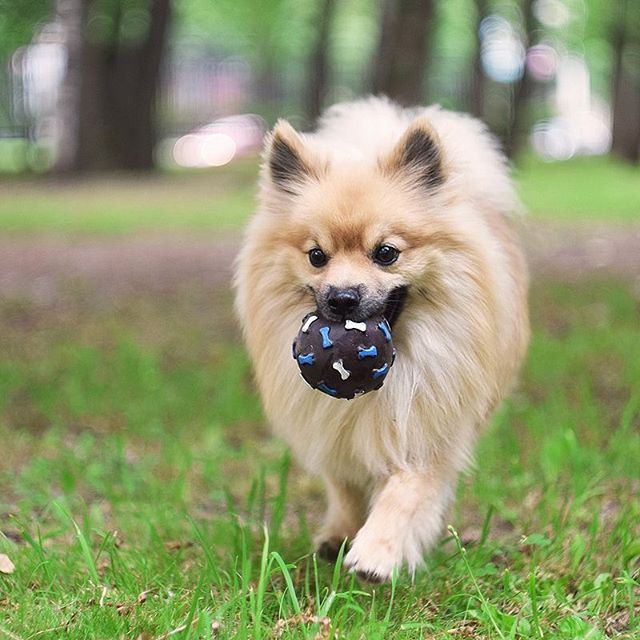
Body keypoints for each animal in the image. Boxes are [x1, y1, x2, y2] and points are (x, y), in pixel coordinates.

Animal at [232, 97, 528, 584]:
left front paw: (376, 552)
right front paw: (341, 533)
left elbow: (406, 493)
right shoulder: (334, 432)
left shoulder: (429, 429)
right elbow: (346, 487)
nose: (342, 297)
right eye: (317, 256)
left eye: (386, 253)